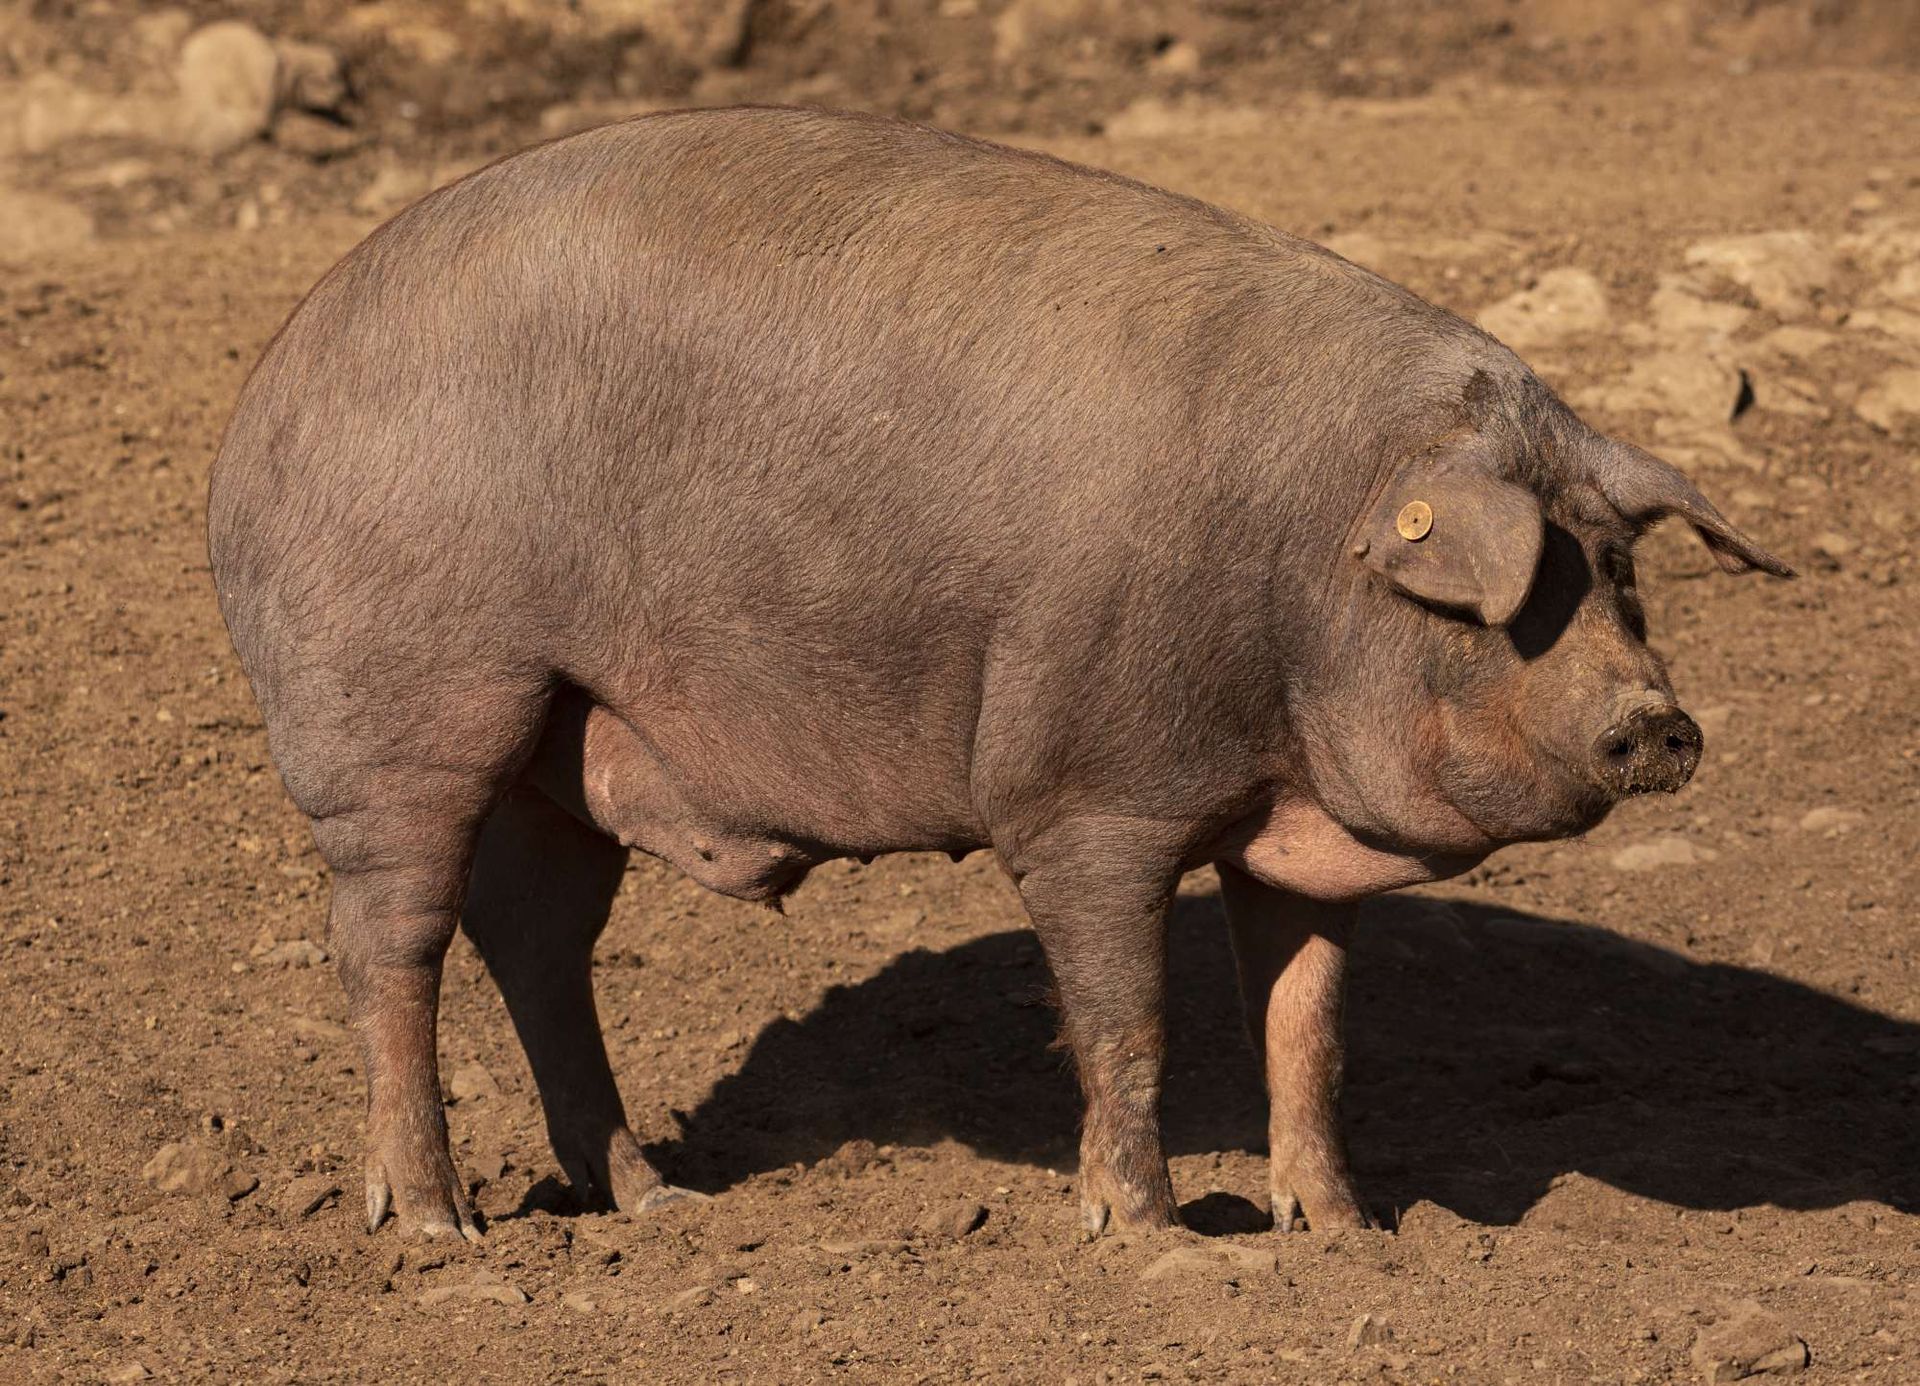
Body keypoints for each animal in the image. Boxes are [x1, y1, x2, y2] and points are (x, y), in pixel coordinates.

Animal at [207, 106, 1791, 1241]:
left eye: (1619, 568)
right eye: (1502, 601)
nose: (1660, 722)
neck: (1299, 553)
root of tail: (263, 398)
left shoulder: (1292, 831)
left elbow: (1311, 1023)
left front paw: (1350, 1233)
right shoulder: (1083, 793)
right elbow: (1129, 1015)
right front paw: (1153, 1238)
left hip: (565, 741)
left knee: (536, 939)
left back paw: (654, 1203)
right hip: (404, 708)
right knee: (389, 942)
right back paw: (439, 1229)